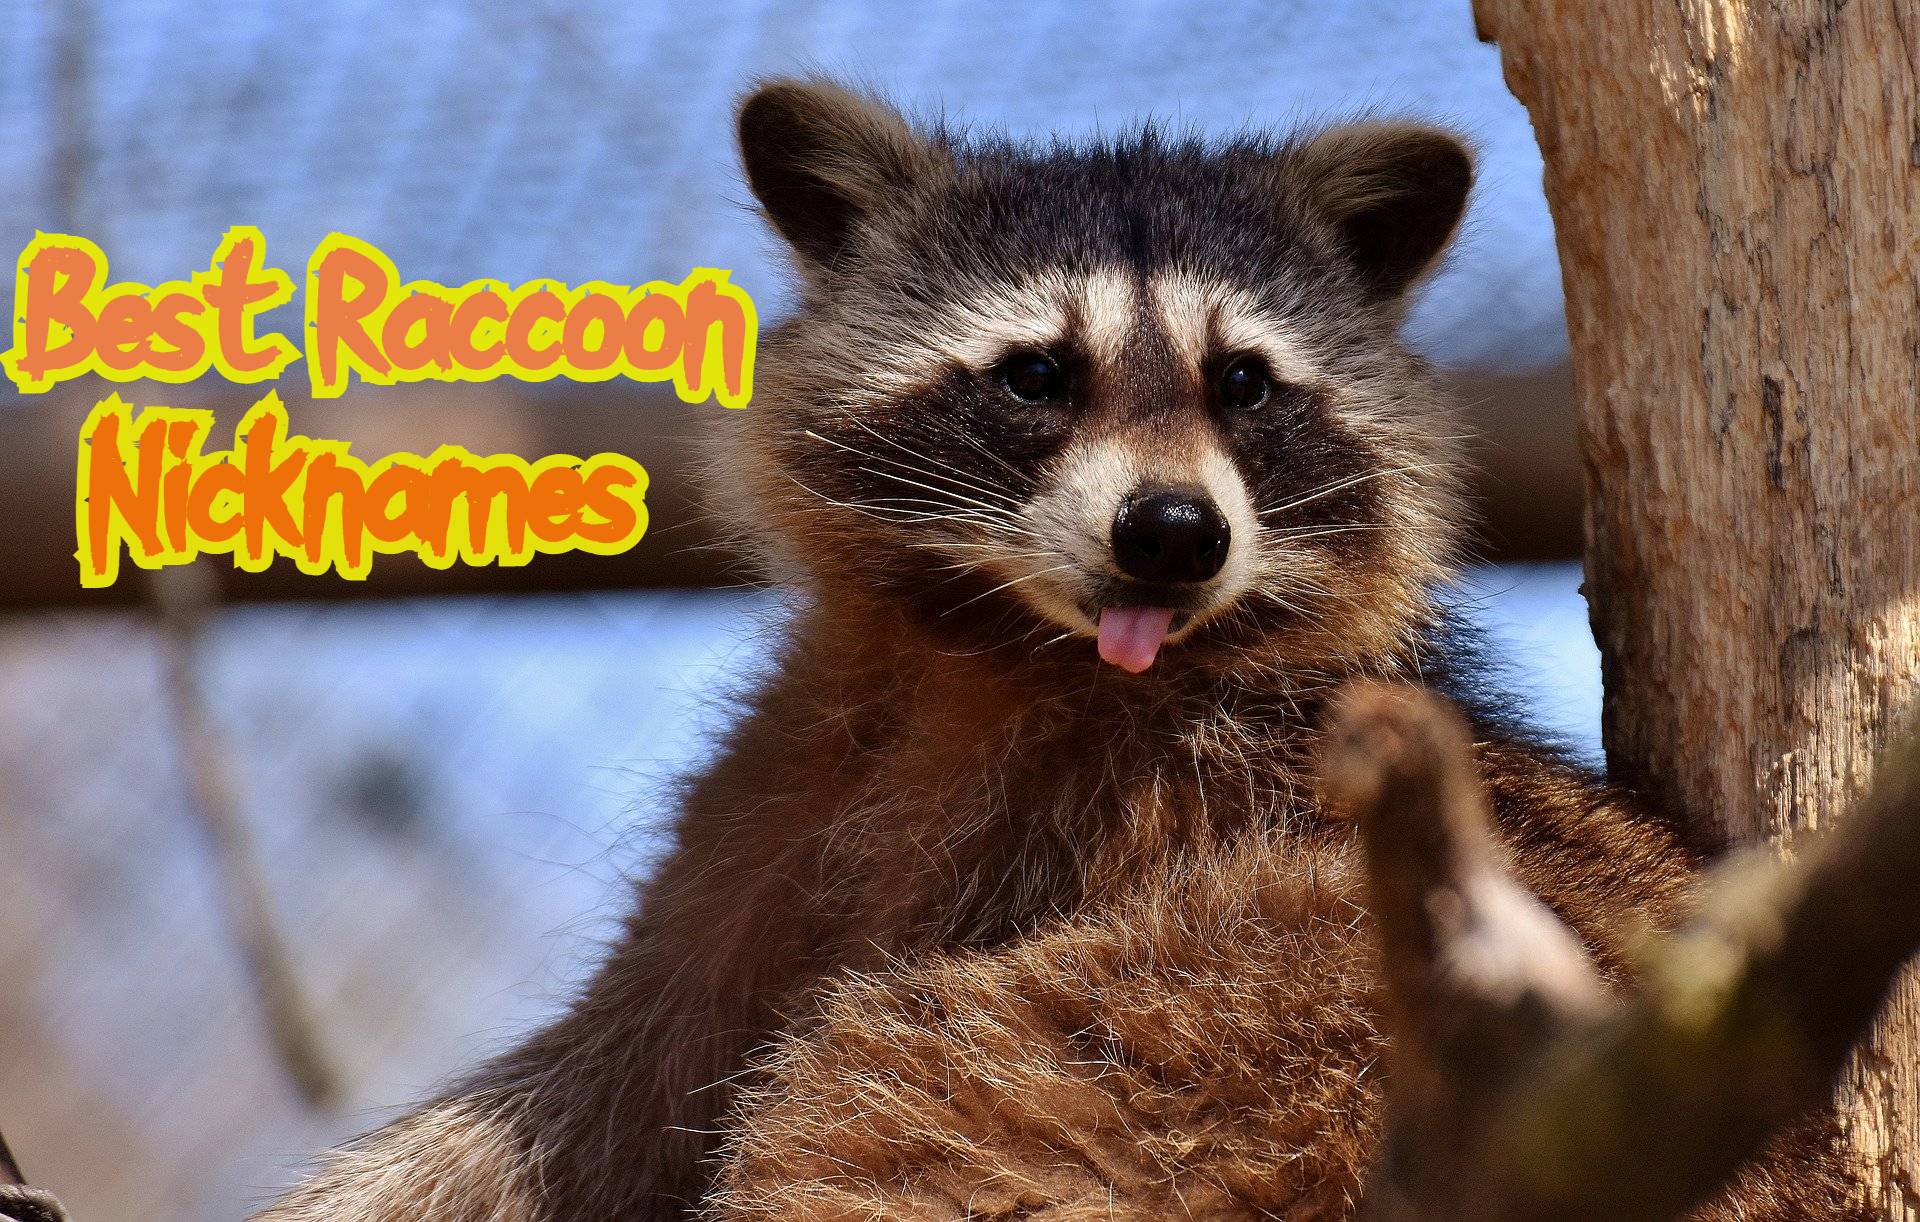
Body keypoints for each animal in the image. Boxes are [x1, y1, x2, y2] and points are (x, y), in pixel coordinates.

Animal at [260, 81, 1859, 1220]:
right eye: (1037, 374)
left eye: (1243, 383)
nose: (1173, 532)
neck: (1015, 653)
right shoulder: (790, 791)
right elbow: (604, 1074)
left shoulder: (1188, 820)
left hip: (1249, 1029)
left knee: (895, 1097)